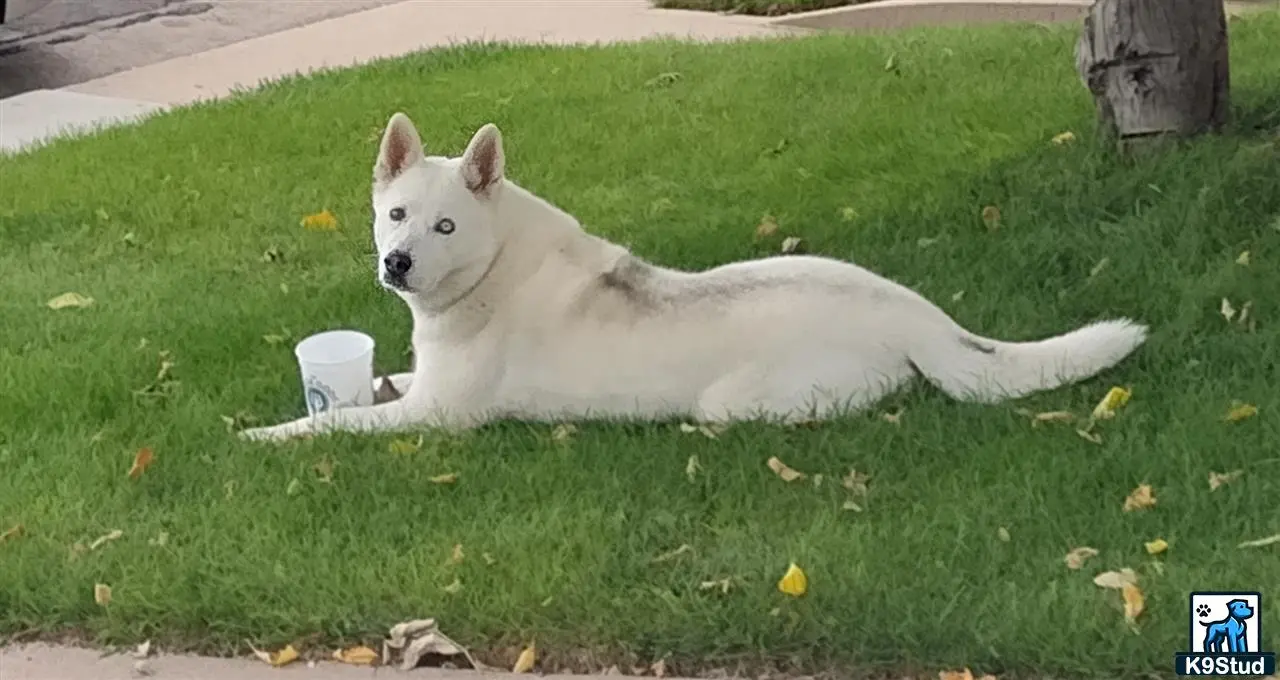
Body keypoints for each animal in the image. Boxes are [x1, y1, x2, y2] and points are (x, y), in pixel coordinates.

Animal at [240, 113, 1152, 440]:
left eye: (446, 227)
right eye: (396, 214)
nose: (397, 262)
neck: (491, 269)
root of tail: (920, 317)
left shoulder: (437, 420)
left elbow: (332, 428)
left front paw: (259, 440)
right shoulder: (418, 385)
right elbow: (369, 387)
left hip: (737, 402)